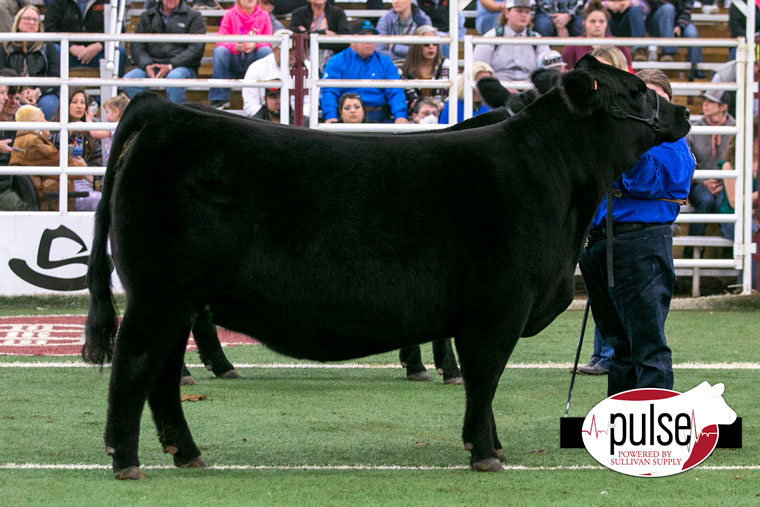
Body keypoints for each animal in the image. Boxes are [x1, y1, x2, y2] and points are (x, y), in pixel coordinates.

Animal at [81, 57, 688, 478]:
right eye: (637, 92)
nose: (681, 112)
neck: (554, 179)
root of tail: (166, 111)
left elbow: (480, 382)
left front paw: (488, 444)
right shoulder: (499, 304)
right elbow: (485, 378)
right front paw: (486, 453)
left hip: (177, 299)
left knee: (162, 374)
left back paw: (186, 453)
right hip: (160, 293)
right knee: (135, 365)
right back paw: (126, 460)